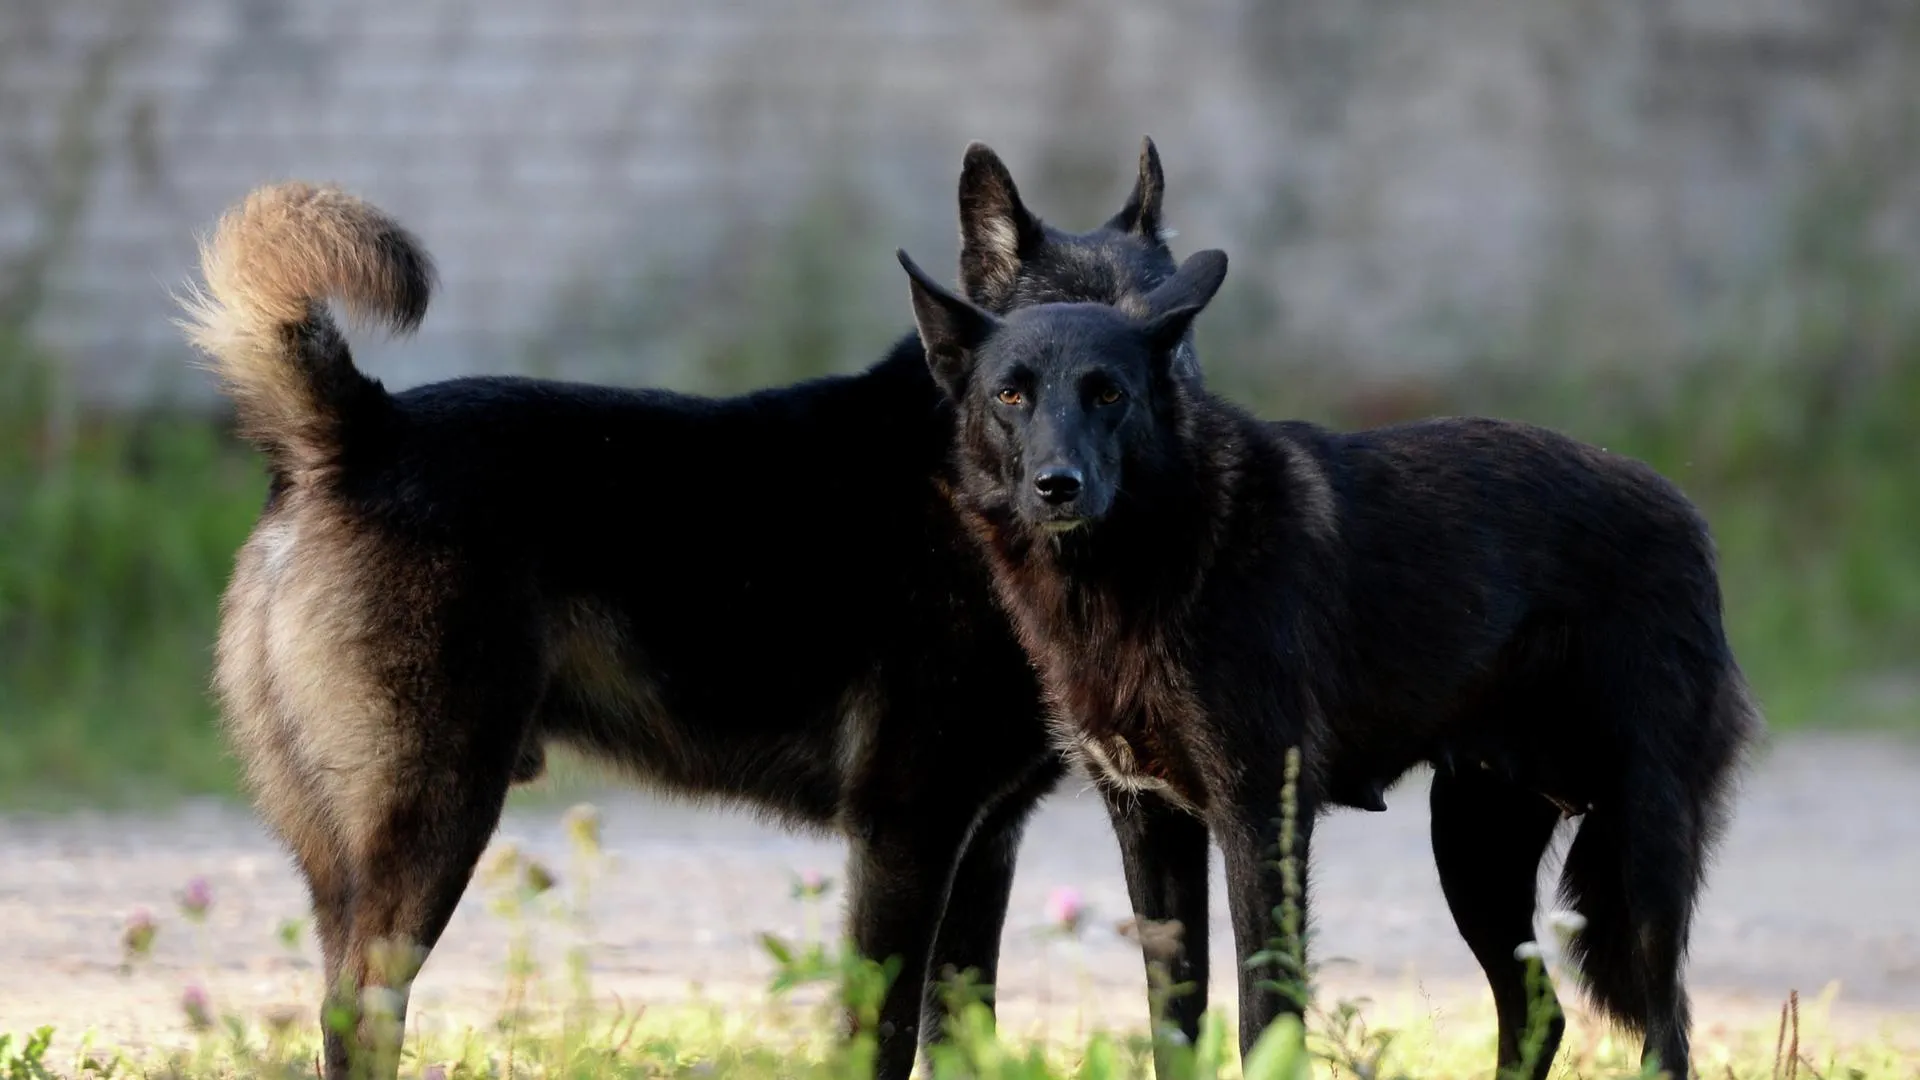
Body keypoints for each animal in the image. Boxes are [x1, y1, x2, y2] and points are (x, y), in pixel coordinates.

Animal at [172, 143, 1205, 1076]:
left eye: (1171, 340)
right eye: (1031, 373)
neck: (961, 481)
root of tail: (356, 430)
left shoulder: (983, 845)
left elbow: (962, 1036)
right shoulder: (906, 833)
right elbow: (877, 1034)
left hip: (352, 860)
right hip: (433, 822)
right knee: (360, 1015)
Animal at [902, 245, 1766, 1076]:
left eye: (1108, 394)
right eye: (1011, 396)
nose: (1060, 485)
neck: (1147, 562)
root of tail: (1689, 518)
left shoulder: (1260, 821)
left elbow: (1264, 1020)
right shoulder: (1150, 823)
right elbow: (1172, 1024)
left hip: (1640, 848)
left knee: (1665, 1032)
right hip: (1474, 854)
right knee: (1539, 1016)